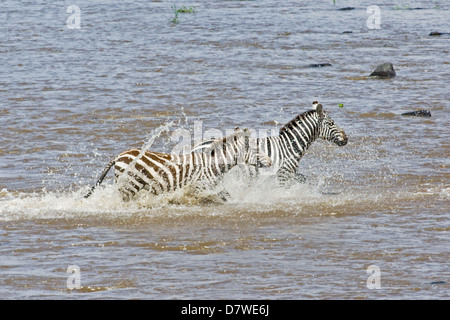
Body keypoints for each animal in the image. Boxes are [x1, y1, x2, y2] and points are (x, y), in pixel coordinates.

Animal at [84, 127, 270, 200]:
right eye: (257, 149)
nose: (270, 161)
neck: (212, 165)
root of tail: (119, 155)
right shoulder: (199, 187)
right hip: (129, 186)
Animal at [193, 101, 348, 186]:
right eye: (331, 123)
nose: (346, 138)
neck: (288, 146)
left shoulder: (290, 174)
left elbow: (302, 180)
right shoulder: (283, 175)